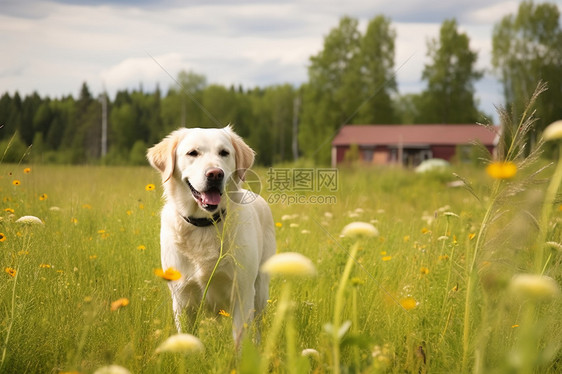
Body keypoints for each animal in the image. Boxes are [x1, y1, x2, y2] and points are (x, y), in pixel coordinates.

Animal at [145, 127, 274, 346]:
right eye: (192, 153)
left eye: (224, 153)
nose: (215, 174)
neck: (205, 225)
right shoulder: (182, 298)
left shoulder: (242, 292)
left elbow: (241, 343)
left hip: (260, 290)